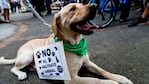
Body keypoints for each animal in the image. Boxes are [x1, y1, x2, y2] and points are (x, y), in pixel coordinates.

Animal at [0, 2, 133, 83]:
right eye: (72, 9)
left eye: (82, 4)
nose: (95, 5)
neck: (74, 43)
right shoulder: (72, 79)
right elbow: (95, 80)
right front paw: (112, 82)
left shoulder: (88, 63)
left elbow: (103, 71)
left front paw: (120, 78)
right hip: (27, 56)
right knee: (13, 68)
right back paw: (21, 73)